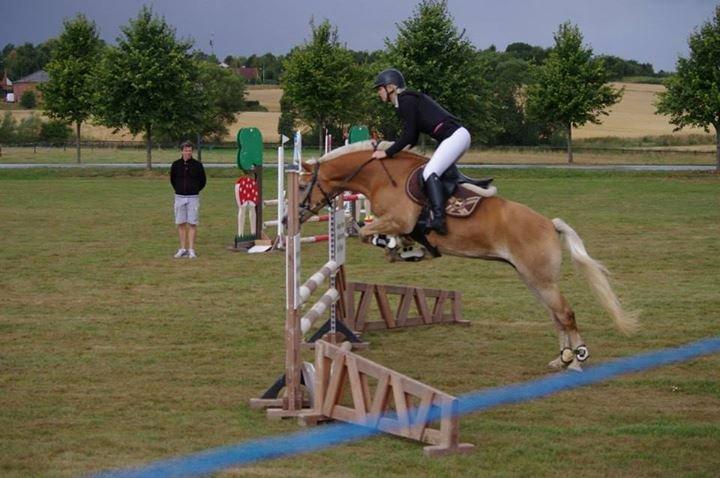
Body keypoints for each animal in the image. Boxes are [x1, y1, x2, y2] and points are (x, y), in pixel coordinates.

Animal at [298, 140, 636, 372]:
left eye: (301, 184)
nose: (293, 216)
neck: (382, 175)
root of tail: (549, 224)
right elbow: (366, 232)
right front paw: (405, 249)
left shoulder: (399, 220)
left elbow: (368, 232)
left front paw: (401, 248)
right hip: (532, 279)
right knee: (556, 317)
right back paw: (560, 359)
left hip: (541, 279)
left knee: (565, 314)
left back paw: (577, 361)